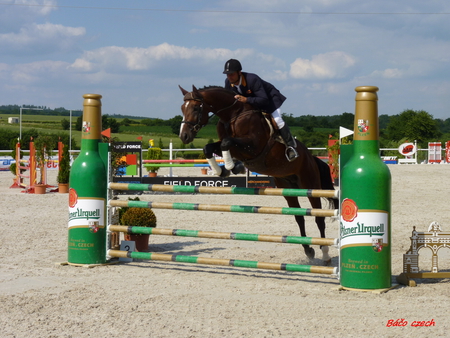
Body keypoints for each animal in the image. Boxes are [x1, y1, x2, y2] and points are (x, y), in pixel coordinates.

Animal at [178, 84, 338, 264]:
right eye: (182, 108)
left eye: (196, 107)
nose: (184, 136)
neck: (232, 115)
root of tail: (312, 158)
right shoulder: (234, 147)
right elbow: (209, 147)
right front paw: (223, 170)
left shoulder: (252, 146)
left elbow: (226, 143)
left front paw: (232, 166)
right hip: (287, 187)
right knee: (299, 217)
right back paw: (308, 250)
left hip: (310, 185)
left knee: (319, 217)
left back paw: (325, 254)